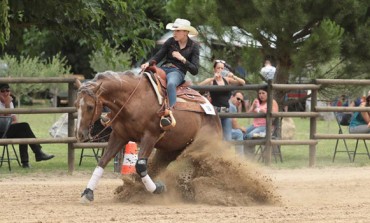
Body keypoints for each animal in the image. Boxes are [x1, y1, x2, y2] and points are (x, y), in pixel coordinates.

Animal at [73, 70, 221, 203]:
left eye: (90, 106)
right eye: (76, 105)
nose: (80, 134)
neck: (134, 100)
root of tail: (213, 111)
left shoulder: (150, 137)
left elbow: (140, 166)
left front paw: (158, 188)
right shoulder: (119, 136)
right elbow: (103, 161)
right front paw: (88, 193)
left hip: (202, 146)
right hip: (170, 150)